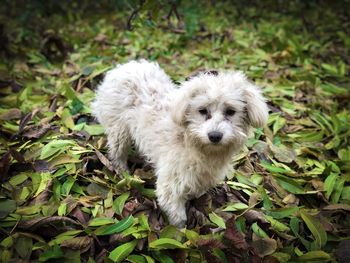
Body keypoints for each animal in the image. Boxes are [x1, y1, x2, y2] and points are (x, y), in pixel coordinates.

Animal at [91, 59, 268, 227]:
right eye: (202, 110)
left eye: (230, 111)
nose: (215, 136)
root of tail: (122, 67)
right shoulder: (171, 185)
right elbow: (177, 217)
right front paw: (180, 232)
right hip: (119, 130)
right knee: (117, 152)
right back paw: (122, 171)